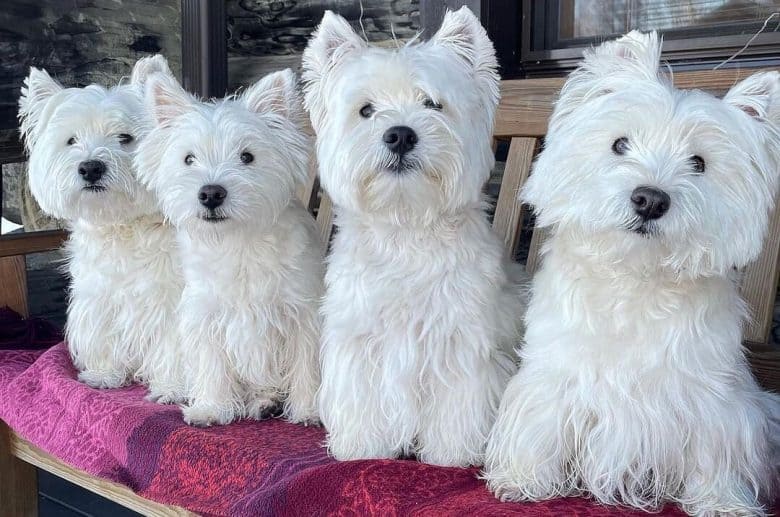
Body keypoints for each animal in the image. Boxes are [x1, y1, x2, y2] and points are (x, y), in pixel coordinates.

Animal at [20, 57, 186, 404]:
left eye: (124, 137)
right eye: (71, 140)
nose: (90, 167)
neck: (122, 226)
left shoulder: (173, 302)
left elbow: (173, 346)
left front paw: (172, 388)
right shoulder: (99, 297)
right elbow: (103, 333)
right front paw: (104, 374)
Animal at [137, 67, 322, 424]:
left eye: (247, 156)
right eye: (188, 158)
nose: (211, 193)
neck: (238, 241)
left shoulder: (302, 313)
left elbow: (307, 365)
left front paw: (309, 410)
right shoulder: (207, 315)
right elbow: (212, 365)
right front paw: (211, 408)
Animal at [302, 7, 528, 468]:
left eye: (432, 103)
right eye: (366, 110)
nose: (401, 134)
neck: (406, 226)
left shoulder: (461, 338)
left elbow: (458, 400)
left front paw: (451, 453)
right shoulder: (360, 338)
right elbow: (362, 396)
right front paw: (363, 446)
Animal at [484, 33, 776, 516]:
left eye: (699, 163)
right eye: (620, 144)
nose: (650, 199)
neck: (635, 277)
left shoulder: (714, 397)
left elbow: (715, 450)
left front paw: (721, 501)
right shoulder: (554, 374)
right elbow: (541, 423)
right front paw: (523, 479)